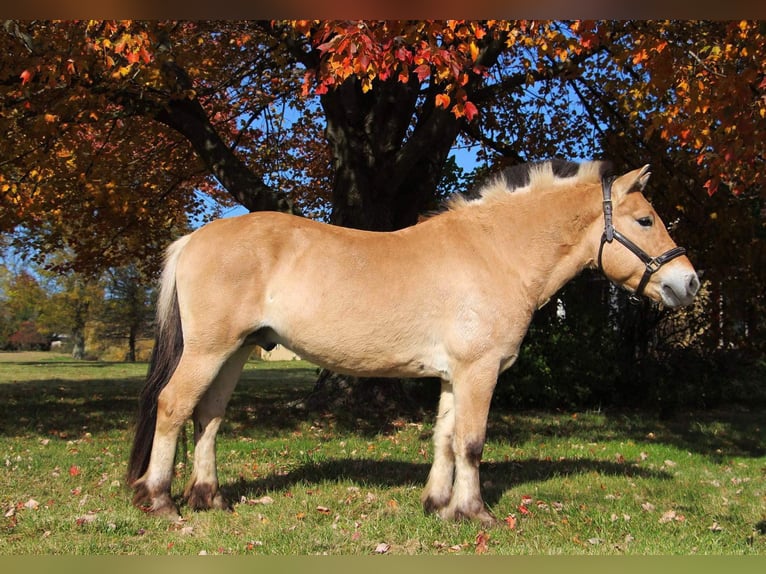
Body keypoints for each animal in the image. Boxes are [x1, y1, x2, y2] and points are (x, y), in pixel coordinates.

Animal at [126, 160, 704, 528]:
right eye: (644, 220)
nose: (690, 283)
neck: (497, 251)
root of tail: (194, 238)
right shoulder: (479, 371)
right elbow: (471, 442)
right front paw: (475, 513)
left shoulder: (455, 375)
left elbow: (444, 439)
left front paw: (439, 506)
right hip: (209, 350)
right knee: (173, 406)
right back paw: (161, 502)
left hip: (237, 351)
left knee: (209, 416)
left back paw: (210, 499)